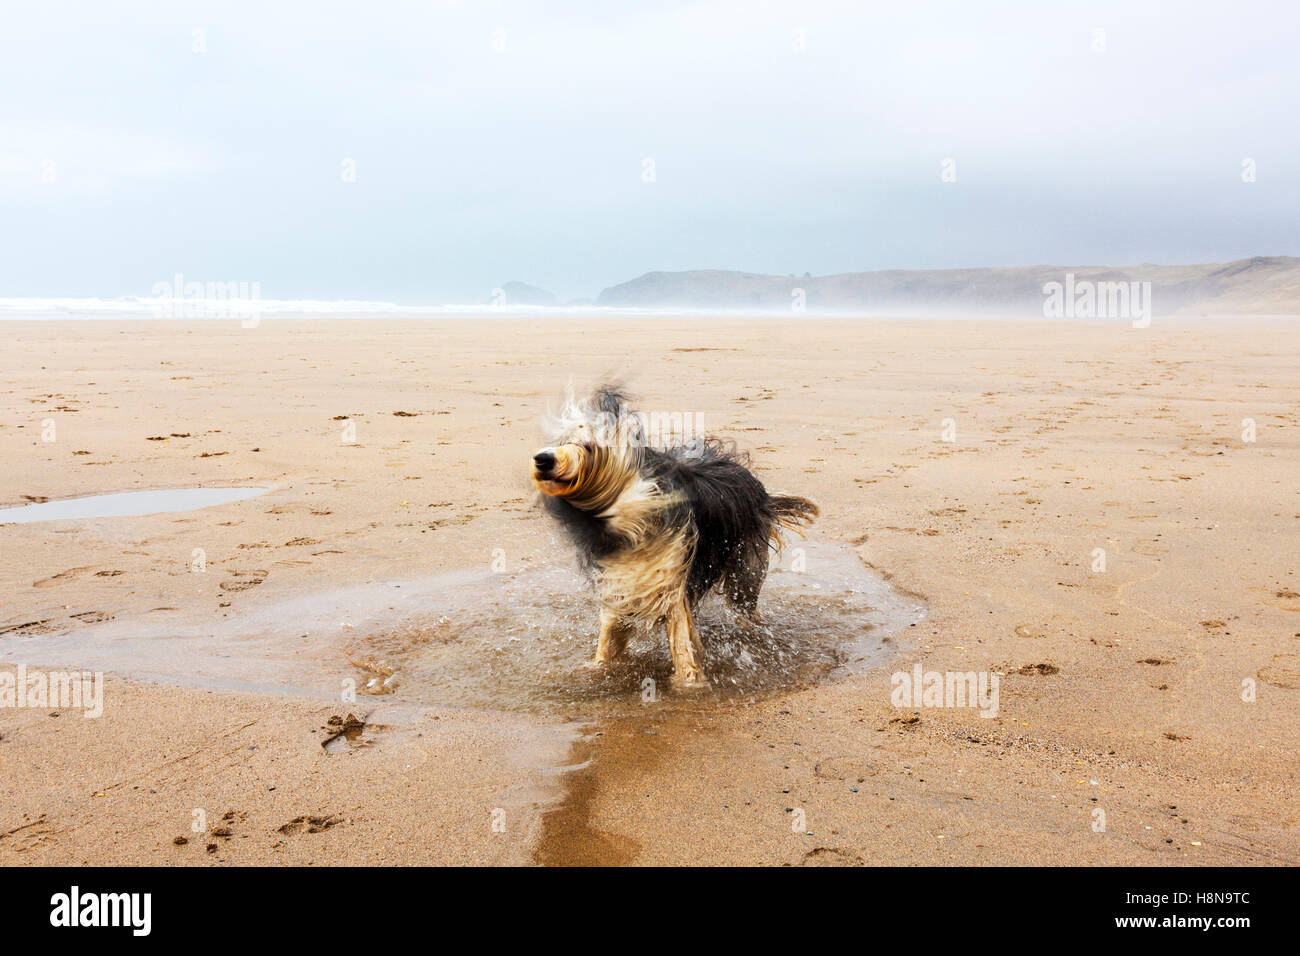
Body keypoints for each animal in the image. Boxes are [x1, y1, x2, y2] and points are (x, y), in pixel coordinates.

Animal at [530, 385, 816, 691]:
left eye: (588, 447)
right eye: (562, 441)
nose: (542, 459)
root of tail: (759, 489)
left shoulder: (672, 579)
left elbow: (682, 643)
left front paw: (689, 685)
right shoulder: (621, 584)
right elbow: (607, 643)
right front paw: (596, 671)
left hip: (745, 574)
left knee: (748, 612)